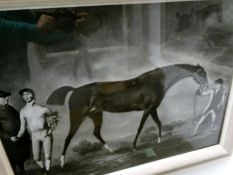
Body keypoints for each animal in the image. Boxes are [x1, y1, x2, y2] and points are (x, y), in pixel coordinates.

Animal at [46, 64, 208, 167]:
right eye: (202, 74)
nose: (206, 85)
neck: (157, 80)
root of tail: (74, 90)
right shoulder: (148, 108)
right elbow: (141, 126)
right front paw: (134, 146)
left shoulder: (153, 108)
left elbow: (158, 122)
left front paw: (159, 141)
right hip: (78, 117)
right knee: (68, 137)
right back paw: (62, 162)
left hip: (96, 115)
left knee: (96, 132)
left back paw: (112, 150)